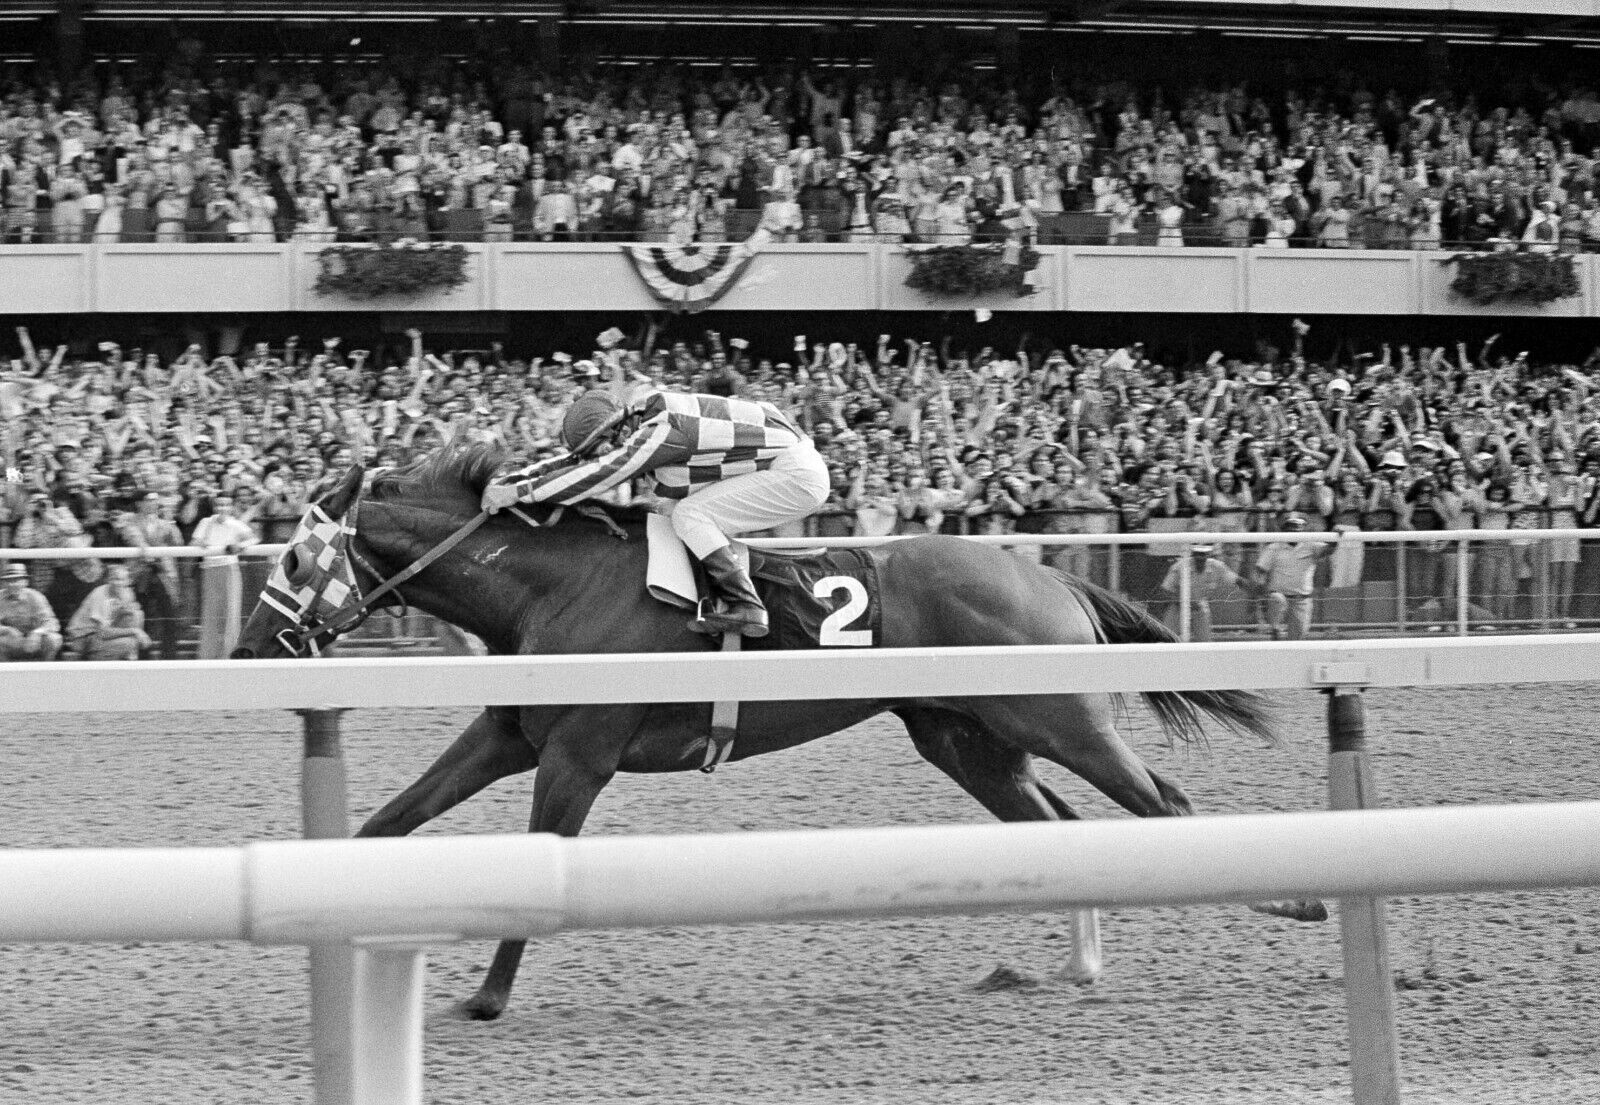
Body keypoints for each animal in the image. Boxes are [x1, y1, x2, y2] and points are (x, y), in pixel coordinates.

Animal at [233, 444, 1324, 1017]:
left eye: (292, 554)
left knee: (1161, 800)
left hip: (1059, 719)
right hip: (964, 738)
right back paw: (1071, 964)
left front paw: (486, 998)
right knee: (1060, 830)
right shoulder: (509, 732)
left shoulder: (579, 754)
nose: (248, 646)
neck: (550, 587)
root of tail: (1046, 573)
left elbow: (541, 860)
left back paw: (1297, 900)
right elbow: (385, 823)